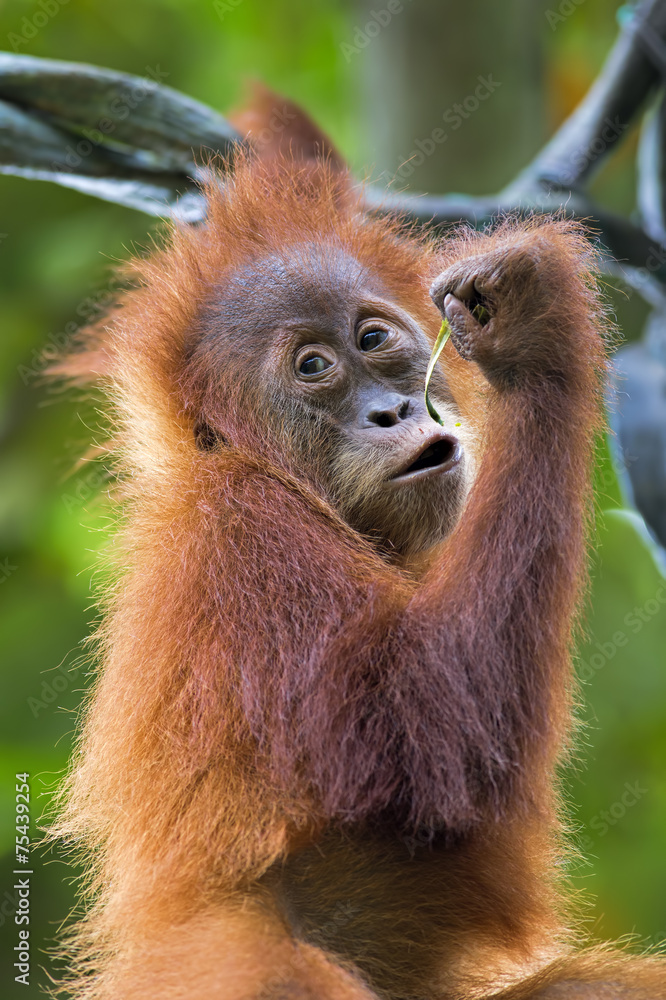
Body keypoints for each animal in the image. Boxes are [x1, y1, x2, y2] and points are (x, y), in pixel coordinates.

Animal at [48, 96, 666, 1000]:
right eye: (314, 366)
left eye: (374, 340)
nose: (391, 412)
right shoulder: (247, 539)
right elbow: (436, 733)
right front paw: (535, 326)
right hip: (231, 964)